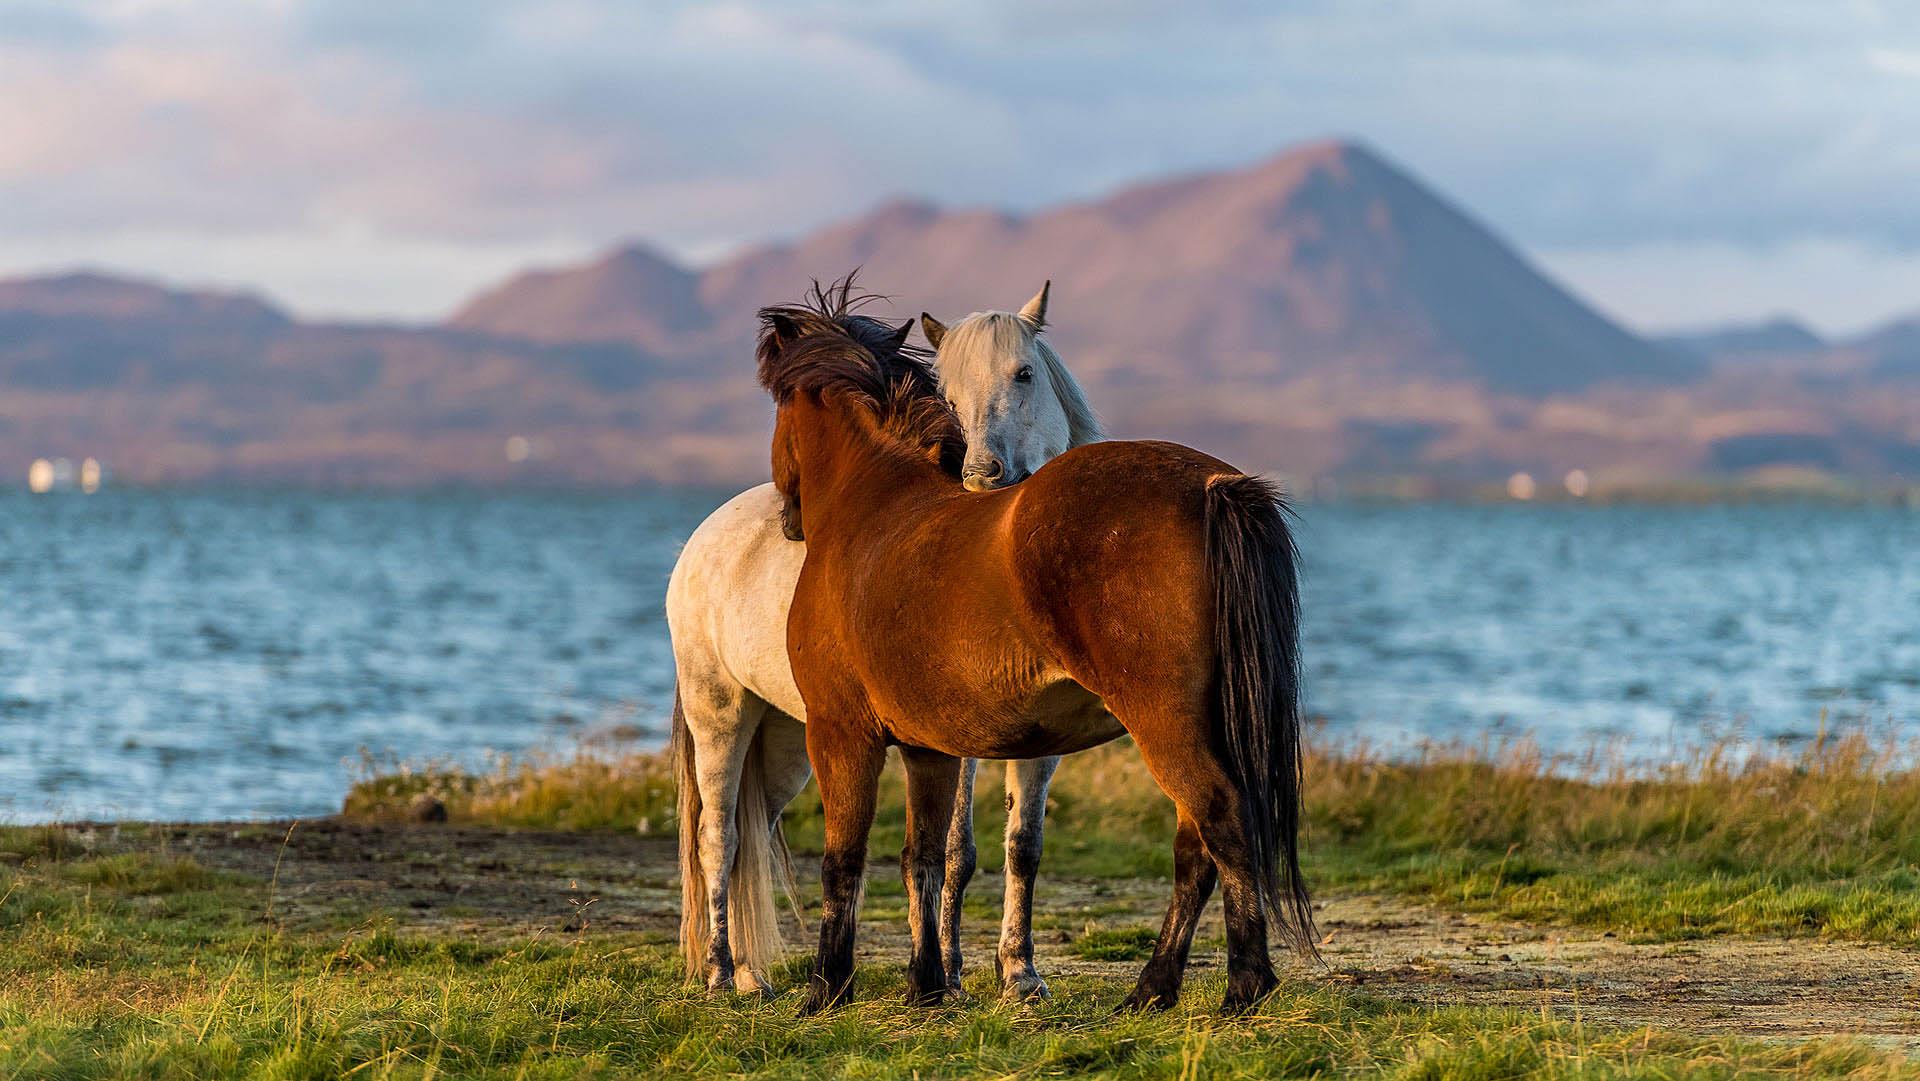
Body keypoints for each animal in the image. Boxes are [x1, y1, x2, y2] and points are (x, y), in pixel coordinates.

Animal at [672, 284, 1098, 1006]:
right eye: (946, 390)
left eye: (1024, 373)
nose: (982, 473)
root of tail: (706, 533)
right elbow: (953, 850)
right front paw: (948, 971)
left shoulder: (1033, 744)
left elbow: (1020, 845)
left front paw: (1018, 973)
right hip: (720, 714)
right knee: (718, 838)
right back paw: (722, 974)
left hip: (784, 741)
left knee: (755, 833)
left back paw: (754, 975)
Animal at [756, 282, 1313, 1013]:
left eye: (777, 410)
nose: (789, 519)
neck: (875, 506)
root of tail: (1211, 486)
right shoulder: (931, 748)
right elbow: (926, 857)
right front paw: (927, 983)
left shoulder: (841, 732)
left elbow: (843, 859)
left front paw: (826, 987)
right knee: (1196, 845)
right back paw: (1151, 990)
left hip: (1167, 723)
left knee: (1224, 819)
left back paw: (1244, 985)